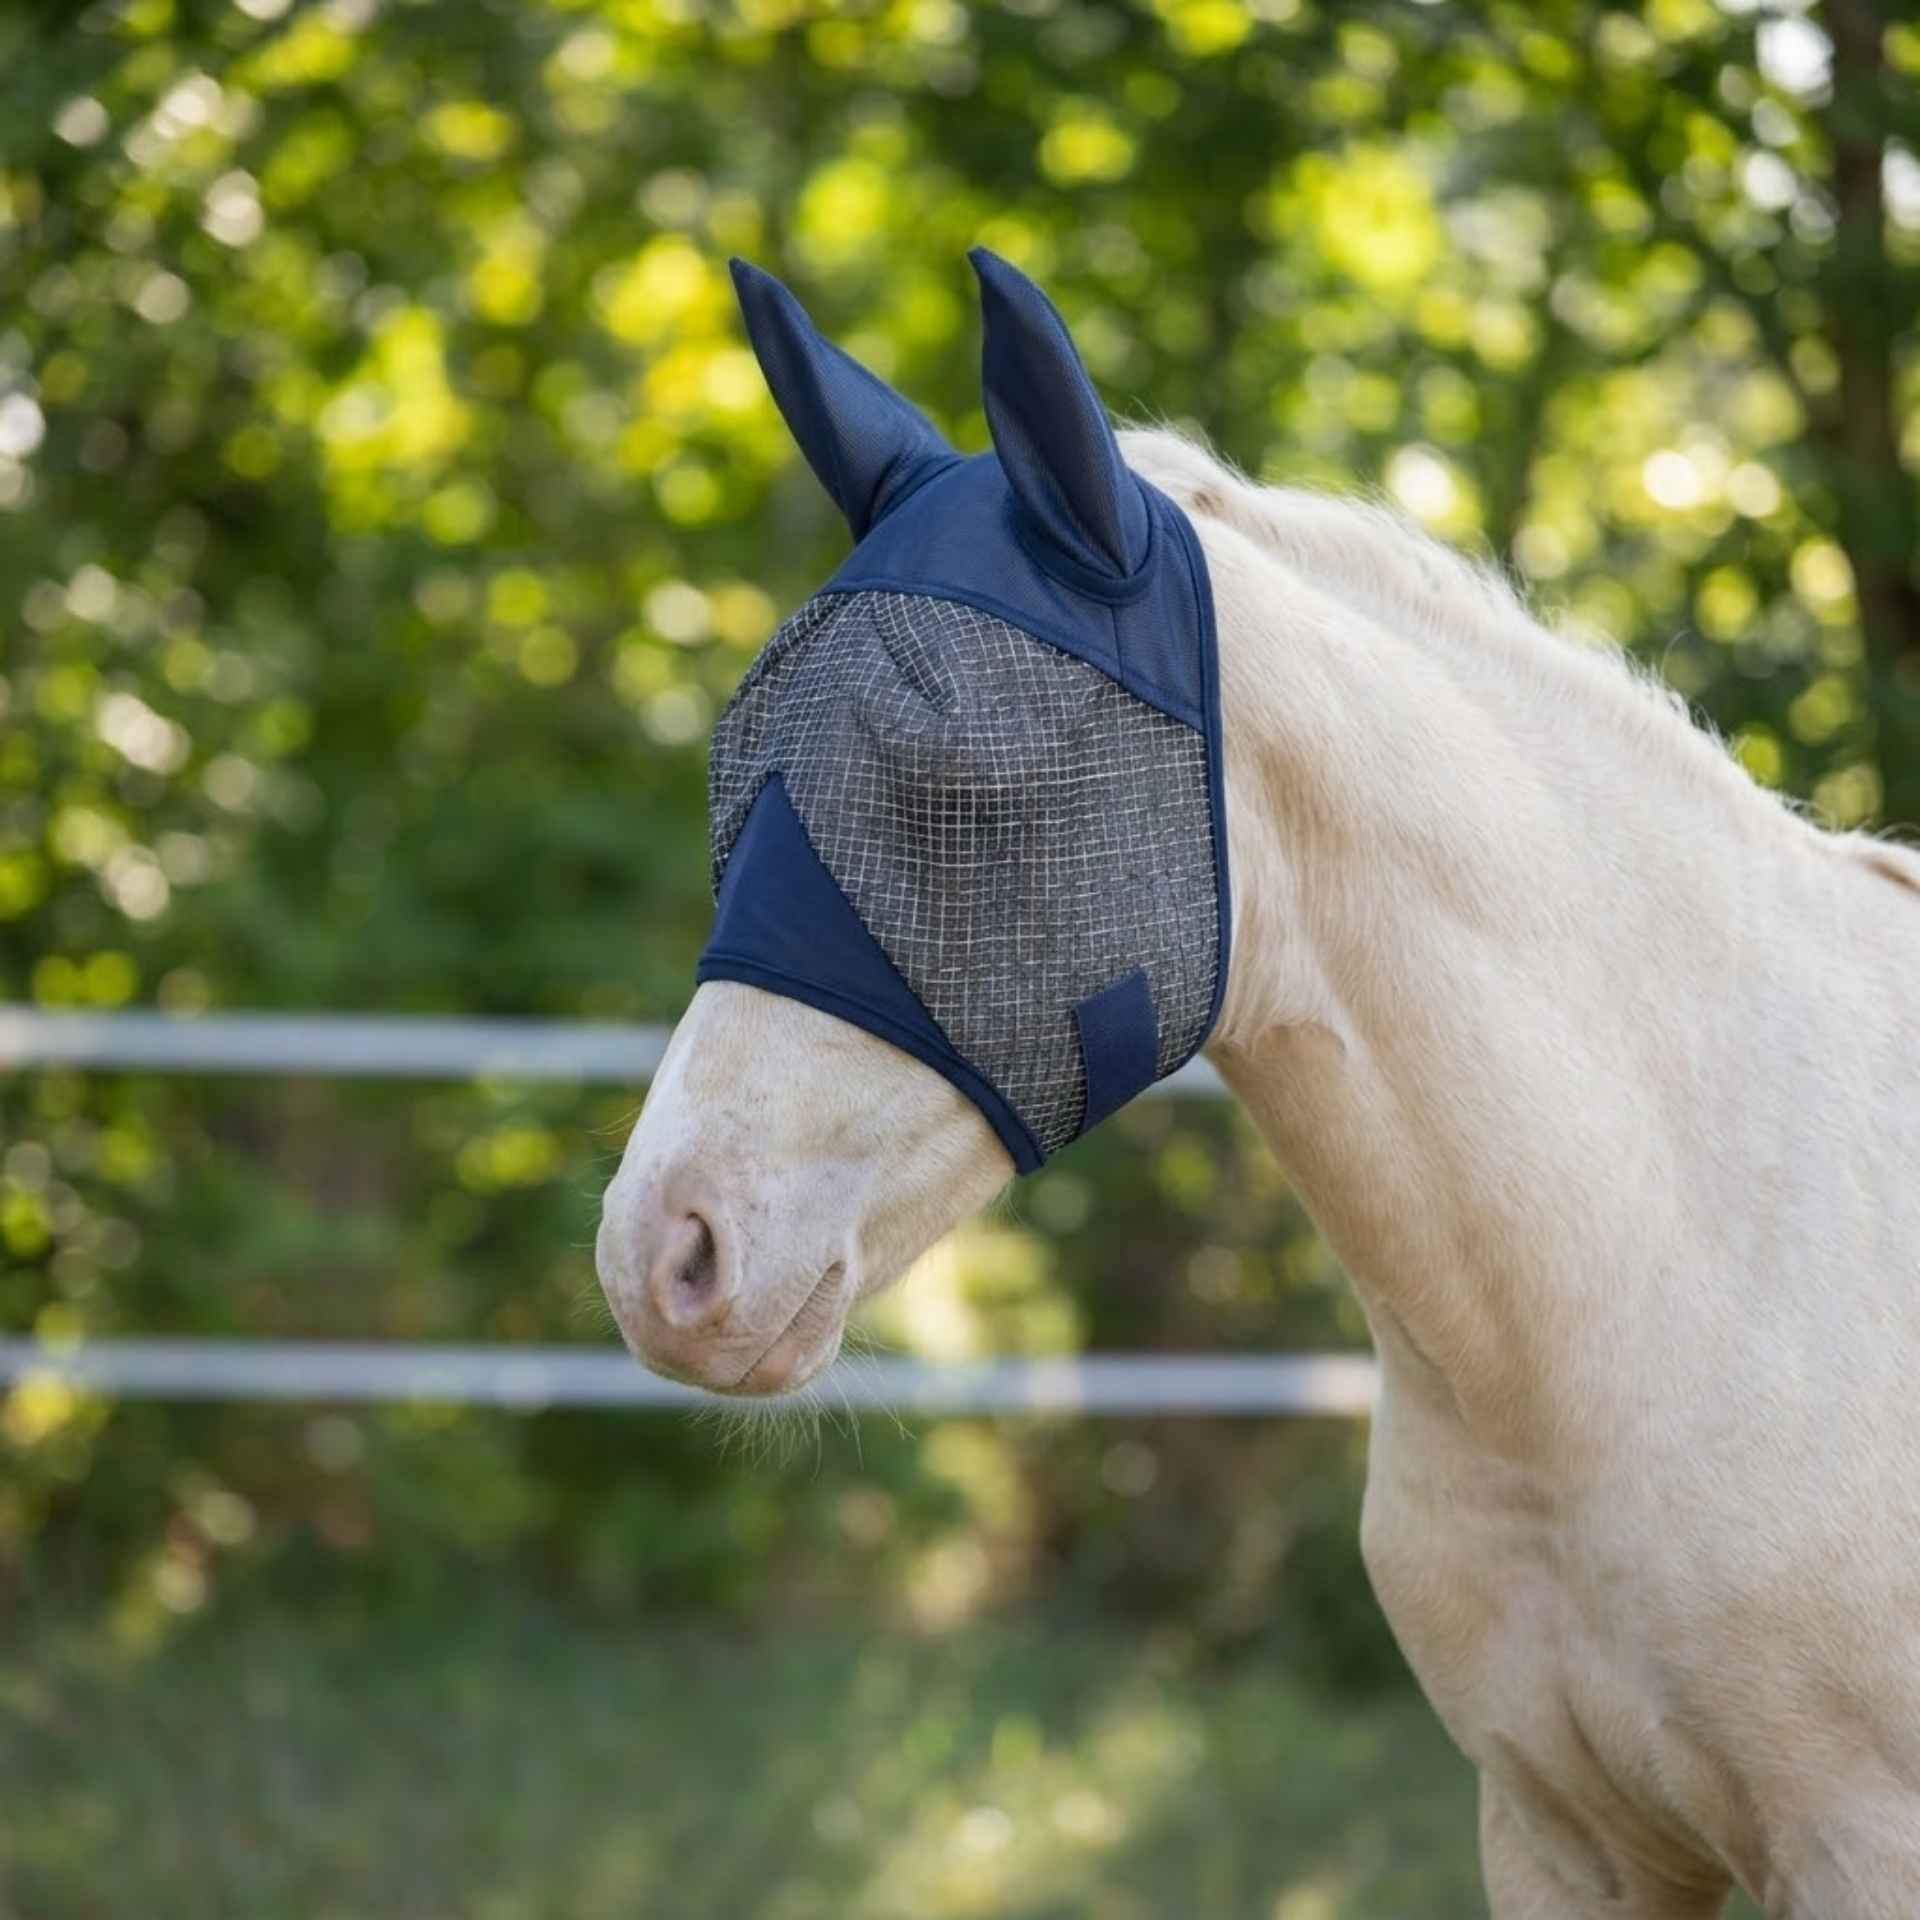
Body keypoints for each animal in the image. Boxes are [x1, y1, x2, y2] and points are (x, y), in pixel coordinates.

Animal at [597, 253, 1920, 1917]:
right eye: (735, 766)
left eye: (968, 782)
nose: (662, 1257)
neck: (1701, 1260)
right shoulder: (1565, 1839)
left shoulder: (1864, 1845)